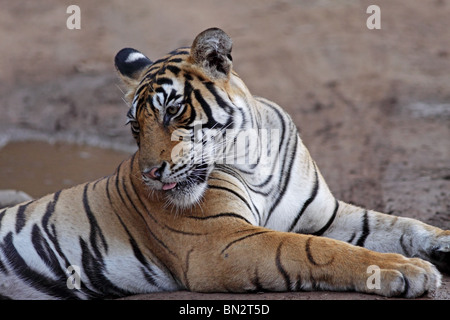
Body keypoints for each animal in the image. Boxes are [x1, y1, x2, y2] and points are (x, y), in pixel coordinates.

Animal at [0, 27, 448, 300]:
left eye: (172, 111)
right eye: (135, 126)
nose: (149, 174)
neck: (256, 158)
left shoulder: (326, 214)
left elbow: (397, 224)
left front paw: (440, 241)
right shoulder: (221, 241)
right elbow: (315, 249)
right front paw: (404, 270)